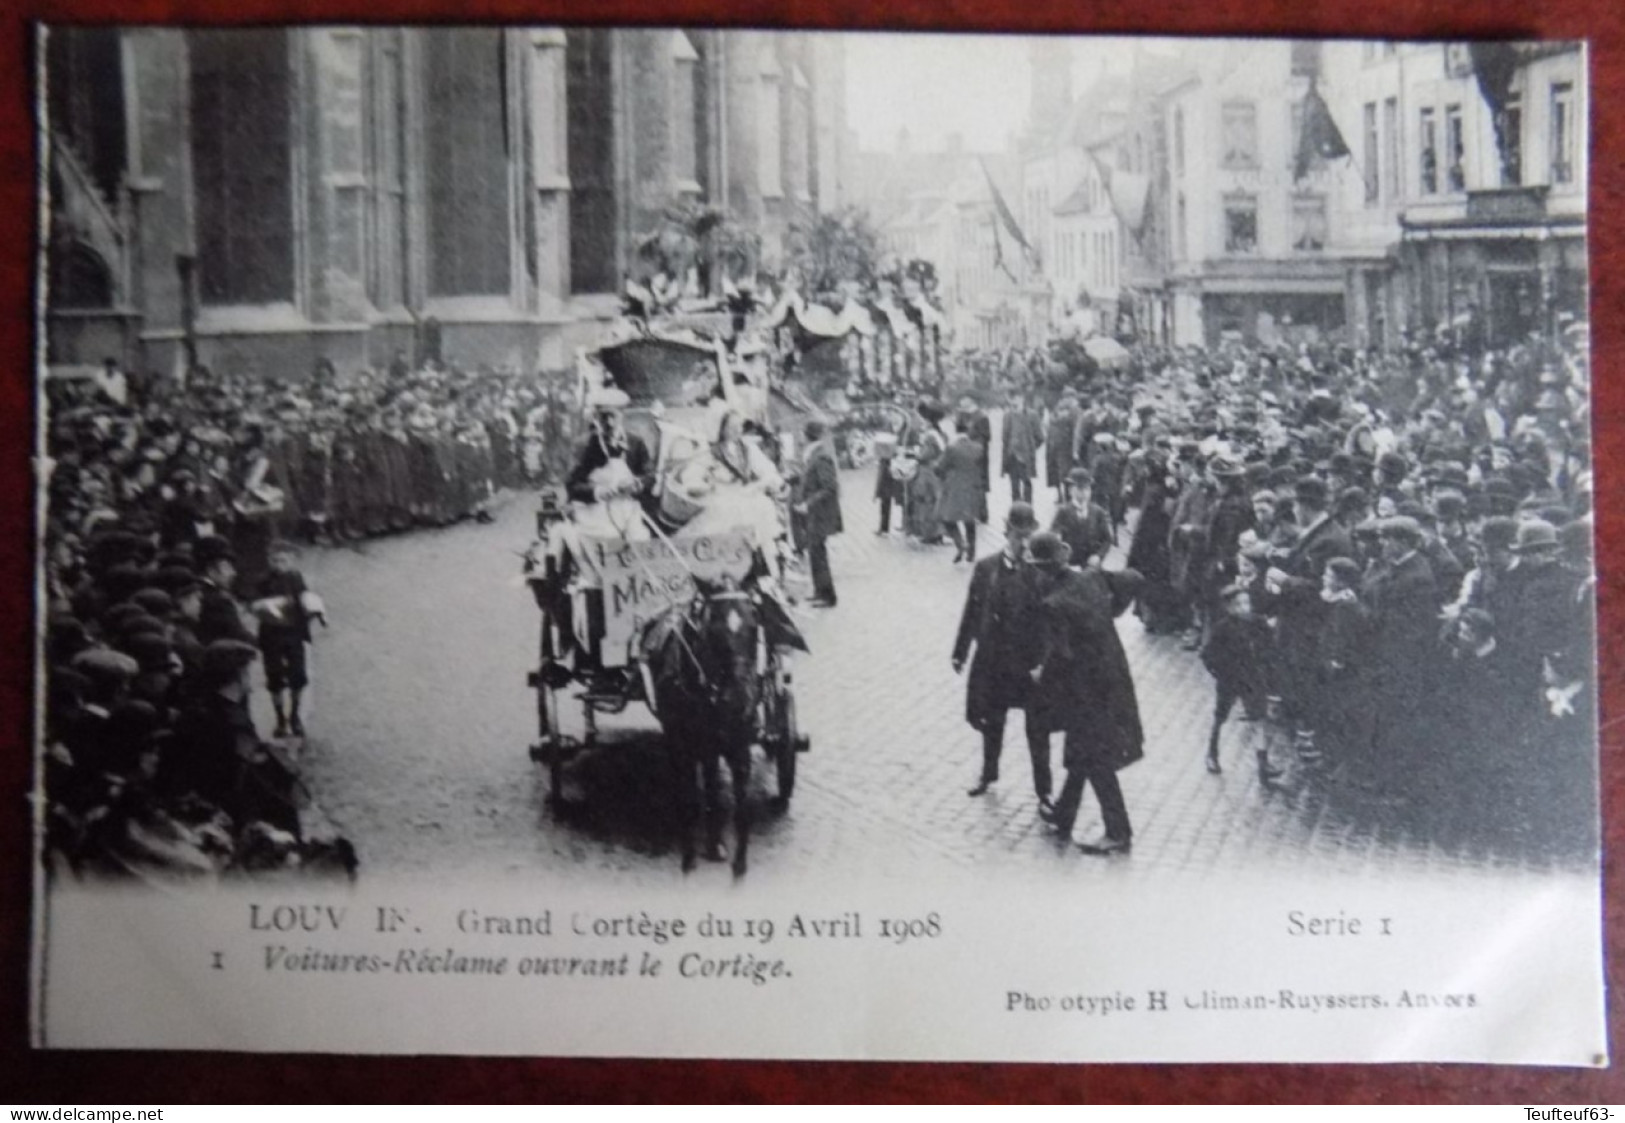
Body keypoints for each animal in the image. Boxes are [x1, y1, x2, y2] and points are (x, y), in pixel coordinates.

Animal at [633, 578, 760, 877]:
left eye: (754, 626)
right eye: (713, 631)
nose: (739, 698)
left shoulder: (738, 745)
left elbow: (742, 805)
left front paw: (739, 864)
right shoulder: (683, 745)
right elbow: (689, 797)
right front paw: (688, 858)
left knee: (712, 779)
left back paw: (714, 844)